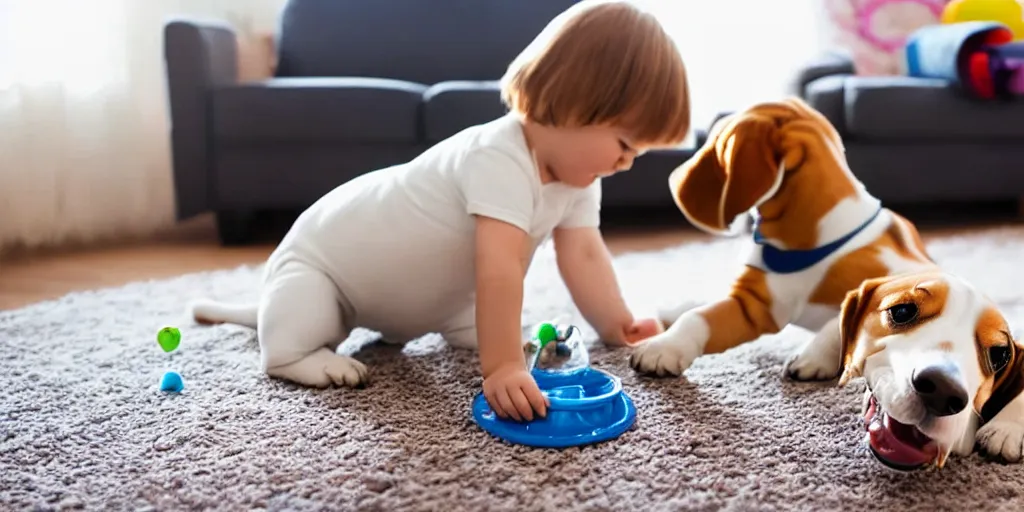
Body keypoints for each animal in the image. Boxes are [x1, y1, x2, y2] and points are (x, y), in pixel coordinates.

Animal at [622, 96, 1024, 468]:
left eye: (716, 140)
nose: (671, 174)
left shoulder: (766, 306)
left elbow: (836, 322)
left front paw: (662, 349)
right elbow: (700, 314)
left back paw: (1004, 430)